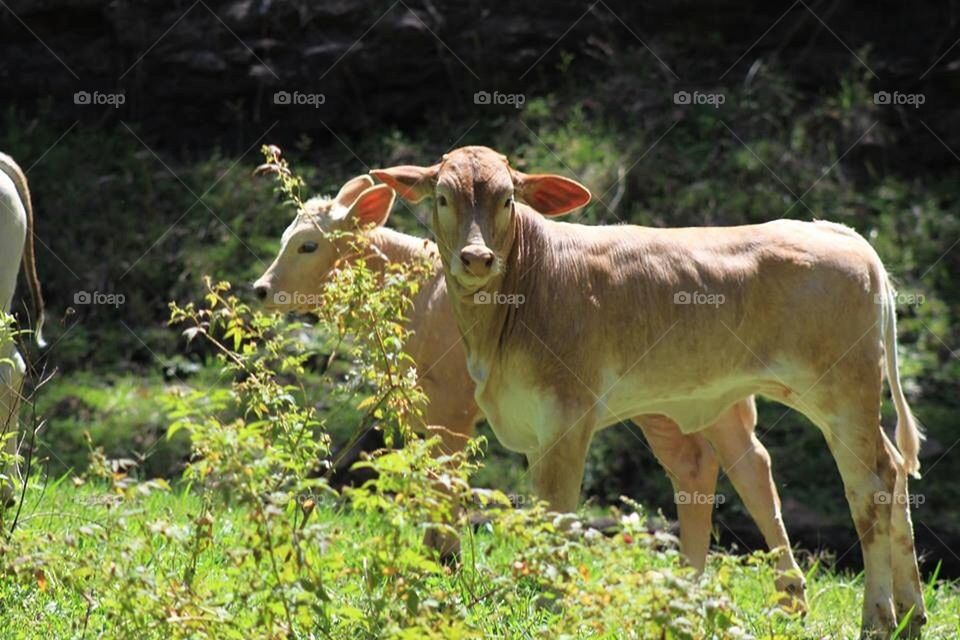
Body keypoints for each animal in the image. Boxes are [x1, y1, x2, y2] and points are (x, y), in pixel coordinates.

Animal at [253, 175, 805, 610]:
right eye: (284, 237)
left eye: (308, 244)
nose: (260, 288)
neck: (419, 299)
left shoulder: (453, 405)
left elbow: (446, 481)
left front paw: (442, 559)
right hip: (678, 405)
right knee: (715, 465)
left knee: (744, 467)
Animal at [371, 146, 925, 638]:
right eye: (444, 197)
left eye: (507, 199)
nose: (477, 258)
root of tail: (838, 232)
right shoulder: (532, 424)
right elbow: (541, 515)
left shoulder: (567, 418)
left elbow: (559, 514)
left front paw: (551, 606)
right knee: (894, 469)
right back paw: (911, 613)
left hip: (842, 393)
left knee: (870, 485)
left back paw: (878, 618)